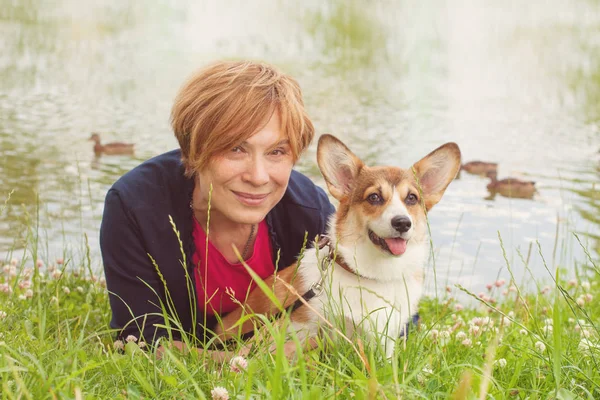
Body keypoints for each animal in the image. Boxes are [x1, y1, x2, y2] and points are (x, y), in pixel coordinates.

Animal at [213, 134, 462, 356]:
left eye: (411, 198)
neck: (372, 275)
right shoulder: (300, 325)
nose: (402, 222)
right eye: (374, 197)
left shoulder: (386, 340)